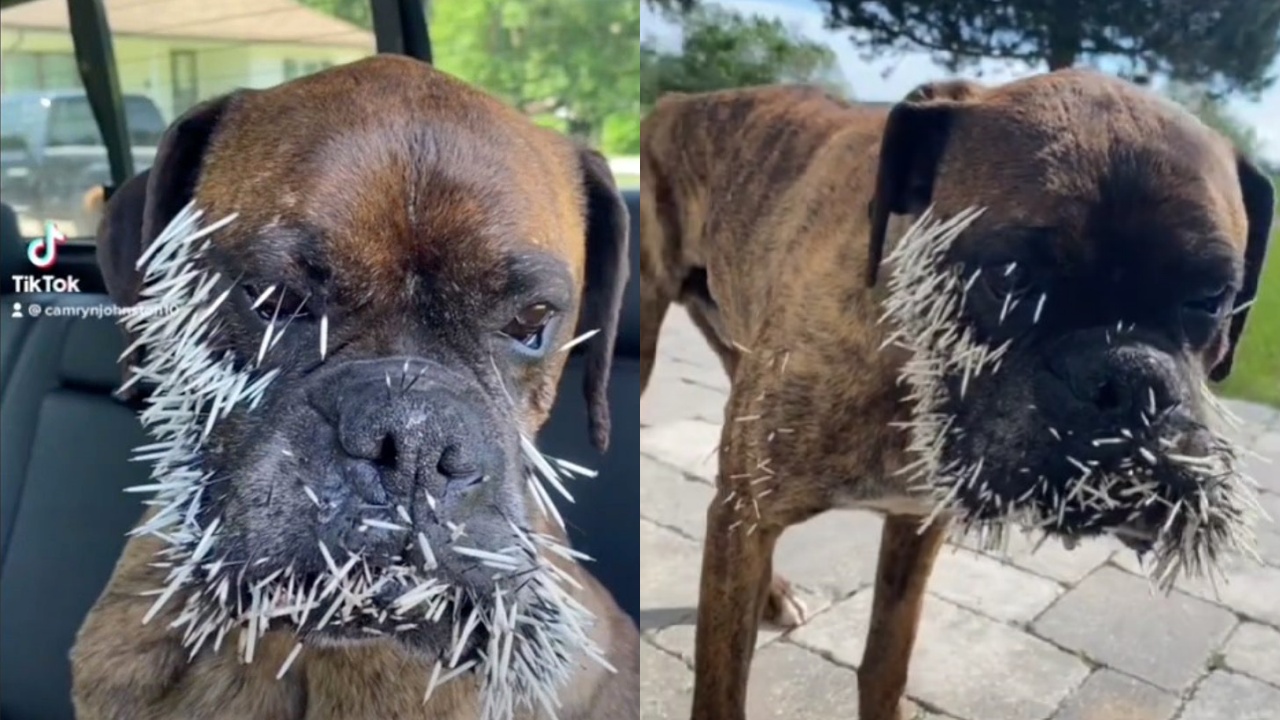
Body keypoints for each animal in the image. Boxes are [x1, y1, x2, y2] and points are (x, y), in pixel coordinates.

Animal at [640, 68, 1269, 717]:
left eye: (1212, 299)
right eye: (1009, 278)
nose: (1127, 378)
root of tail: (677, 101)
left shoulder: (915, 526)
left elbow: (885, 663)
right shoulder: (752, 511)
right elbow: (721, 690)